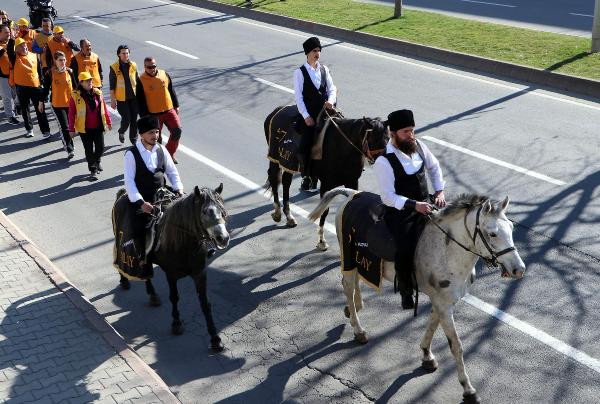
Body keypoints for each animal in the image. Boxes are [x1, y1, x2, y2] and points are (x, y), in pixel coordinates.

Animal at [112, 185, 230, 350]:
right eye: (205, 211)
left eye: (222, 209)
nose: (223, 238)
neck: (184, 243)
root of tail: (123, 193)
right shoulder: (171, 274)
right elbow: (174, 297)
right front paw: (176, 324)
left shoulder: (200, 273)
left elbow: (205, 303)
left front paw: (215, 338)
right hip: (120, 239)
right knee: (119, 257)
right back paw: (124, 281)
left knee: (146, 272)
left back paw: (153, 295)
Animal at [310, 188, 524, 402]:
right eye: (492, 234)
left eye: (512, 228)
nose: (519, 269)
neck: (447, 249)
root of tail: (352, 193)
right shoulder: (444, 304)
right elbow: (456, 345)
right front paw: (468, 389)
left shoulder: (442, 301)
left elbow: (432, 325)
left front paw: (426, 355)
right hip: (349, 258)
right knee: (347, 286)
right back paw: (358, 329)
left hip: (359, 262)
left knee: (354, 284)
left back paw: (352, 309)